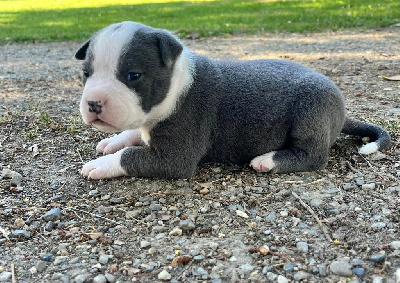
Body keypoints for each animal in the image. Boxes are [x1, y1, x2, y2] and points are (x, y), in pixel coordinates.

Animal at [75, 21, 390, 180]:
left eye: (133, 75)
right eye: (86, 73)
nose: (94, 104)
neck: (177, 84)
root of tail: (341, 112)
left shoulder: (174, 158)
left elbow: (130, 156)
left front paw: (101, 165)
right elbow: (135, 133)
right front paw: (113, 141)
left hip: (313, 109)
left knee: (313, 156)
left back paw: (268, 161)